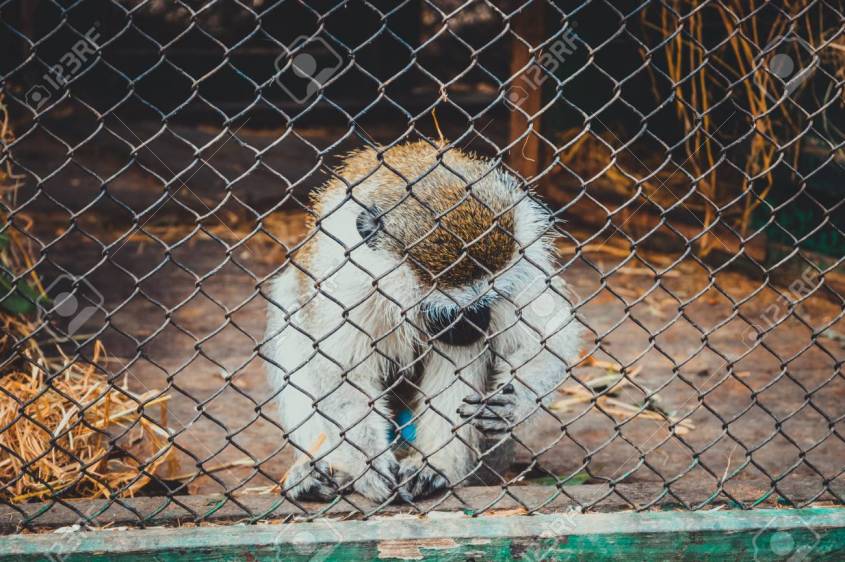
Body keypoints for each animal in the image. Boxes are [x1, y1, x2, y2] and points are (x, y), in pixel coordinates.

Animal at [263, 141, 583, 503]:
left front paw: (513, 404)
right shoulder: (344, 283)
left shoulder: (523, 260)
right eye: (449, 312)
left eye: (488, 299)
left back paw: (436, 467)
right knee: (291, 312)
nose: (476, 323)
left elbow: (549, 338)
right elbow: (341, 371)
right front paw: (370, 467)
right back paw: (319, 470)